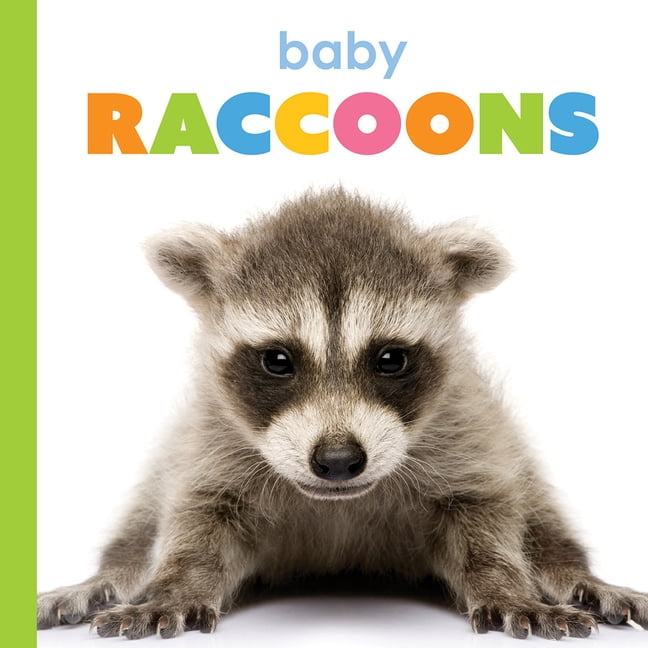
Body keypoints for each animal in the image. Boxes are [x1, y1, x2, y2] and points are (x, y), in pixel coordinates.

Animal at [38, 188, 648, 640]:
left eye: (391, 359)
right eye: (278, 360)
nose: (336, 460)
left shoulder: (466, 426)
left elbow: (484, 514)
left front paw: (504, 584)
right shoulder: (211, 436)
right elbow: (199, 518)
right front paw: (177, 585)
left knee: (541, 516)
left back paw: (573, 572)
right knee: (141, 523)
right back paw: (110, 575)